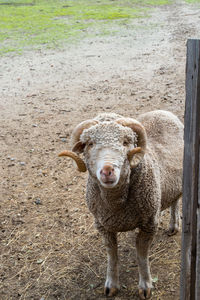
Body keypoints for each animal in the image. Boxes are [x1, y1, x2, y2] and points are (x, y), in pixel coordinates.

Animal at [58, 111, 184, 298]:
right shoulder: (103, 226)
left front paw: (145, 286)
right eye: (89, 144)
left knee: (177, 201)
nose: (107, 171)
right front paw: (111, 285)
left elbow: (141, 256)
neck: (116, 204)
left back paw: (174, 225)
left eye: (125, 142)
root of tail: (163, 112)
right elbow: (112, 255)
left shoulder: (148, 225)